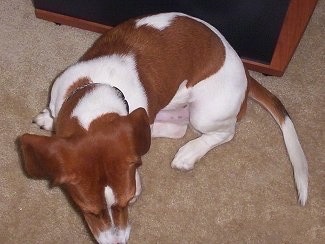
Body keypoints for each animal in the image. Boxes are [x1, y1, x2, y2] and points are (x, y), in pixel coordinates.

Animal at [17, 12, 306, 243]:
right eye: (88, 211)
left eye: (129, 201)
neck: (94, 95)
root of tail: (246, 71)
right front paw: (48, 119)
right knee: (175, 128)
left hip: (204, 114)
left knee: (225, 132)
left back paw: (189, 152)